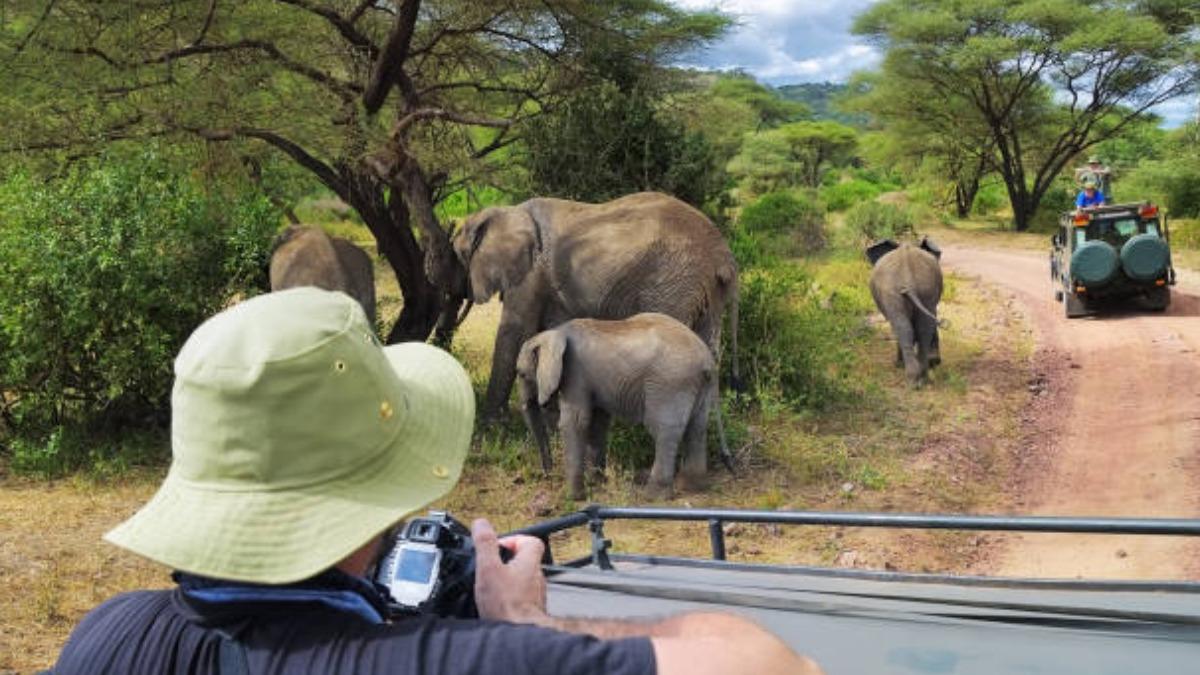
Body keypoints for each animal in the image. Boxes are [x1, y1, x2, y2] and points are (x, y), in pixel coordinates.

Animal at [453, 190, 739, 420]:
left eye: (459, 255)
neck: (504, 211)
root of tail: (723, 255)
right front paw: (553, 419)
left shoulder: (531, 273)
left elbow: (515, 331)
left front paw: (492, 423)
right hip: (705, 290)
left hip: (673, 283)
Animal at [516, 312, 720, 497]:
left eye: (521, 374)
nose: (548, 476)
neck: (555, 333)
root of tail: (707, 359)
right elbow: (597, 423)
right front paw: (596, 483)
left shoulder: (574, 373)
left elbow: (575, 422)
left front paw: (573, 497)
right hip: (700, 386)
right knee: (697, 428)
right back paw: (692, 488)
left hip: (670, 383)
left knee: (664, 431)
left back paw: (653, 495)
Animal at [868, 235, 940, 384]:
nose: (936, 361)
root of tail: (908, 279)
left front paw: (898, 365)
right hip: (926, 288)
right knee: (924, 328)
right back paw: (922, 377)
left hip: (893, 293)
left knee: (902, 328)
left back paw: (911, 378)